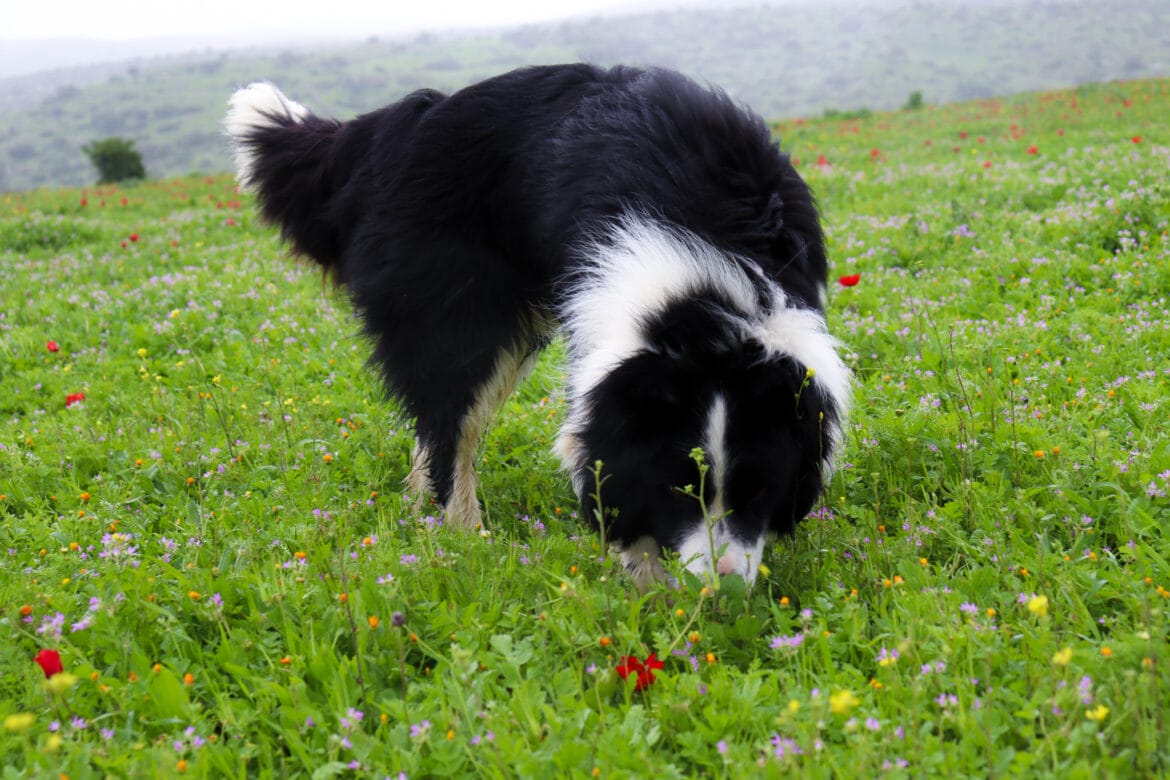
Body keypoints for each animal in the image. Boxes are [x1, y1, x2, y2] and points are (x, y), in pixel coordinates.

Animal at [223, 64, 851, 589]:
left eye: (760, 488)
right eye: (680, 487)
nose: (722, 587)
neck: (706, 297)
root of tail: (393, 129)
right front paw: (645, 577)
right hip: (451, 296)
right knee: (453, 411)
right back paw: (464, 535)